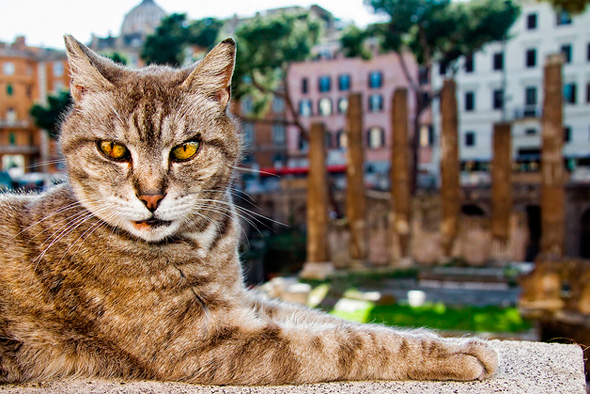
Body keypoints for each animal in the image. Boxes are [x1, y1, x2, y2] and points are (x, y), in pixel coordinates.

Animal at [0, 35, 500, 386]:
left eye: (185, 149)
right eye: (112, 149)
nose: (151, 196)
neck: (203, 241)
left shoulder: (241, 301)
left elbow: (332, 320)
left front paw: (437, 337)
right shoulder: (206, 342)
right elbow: (345, 342)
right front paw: (450, 354)